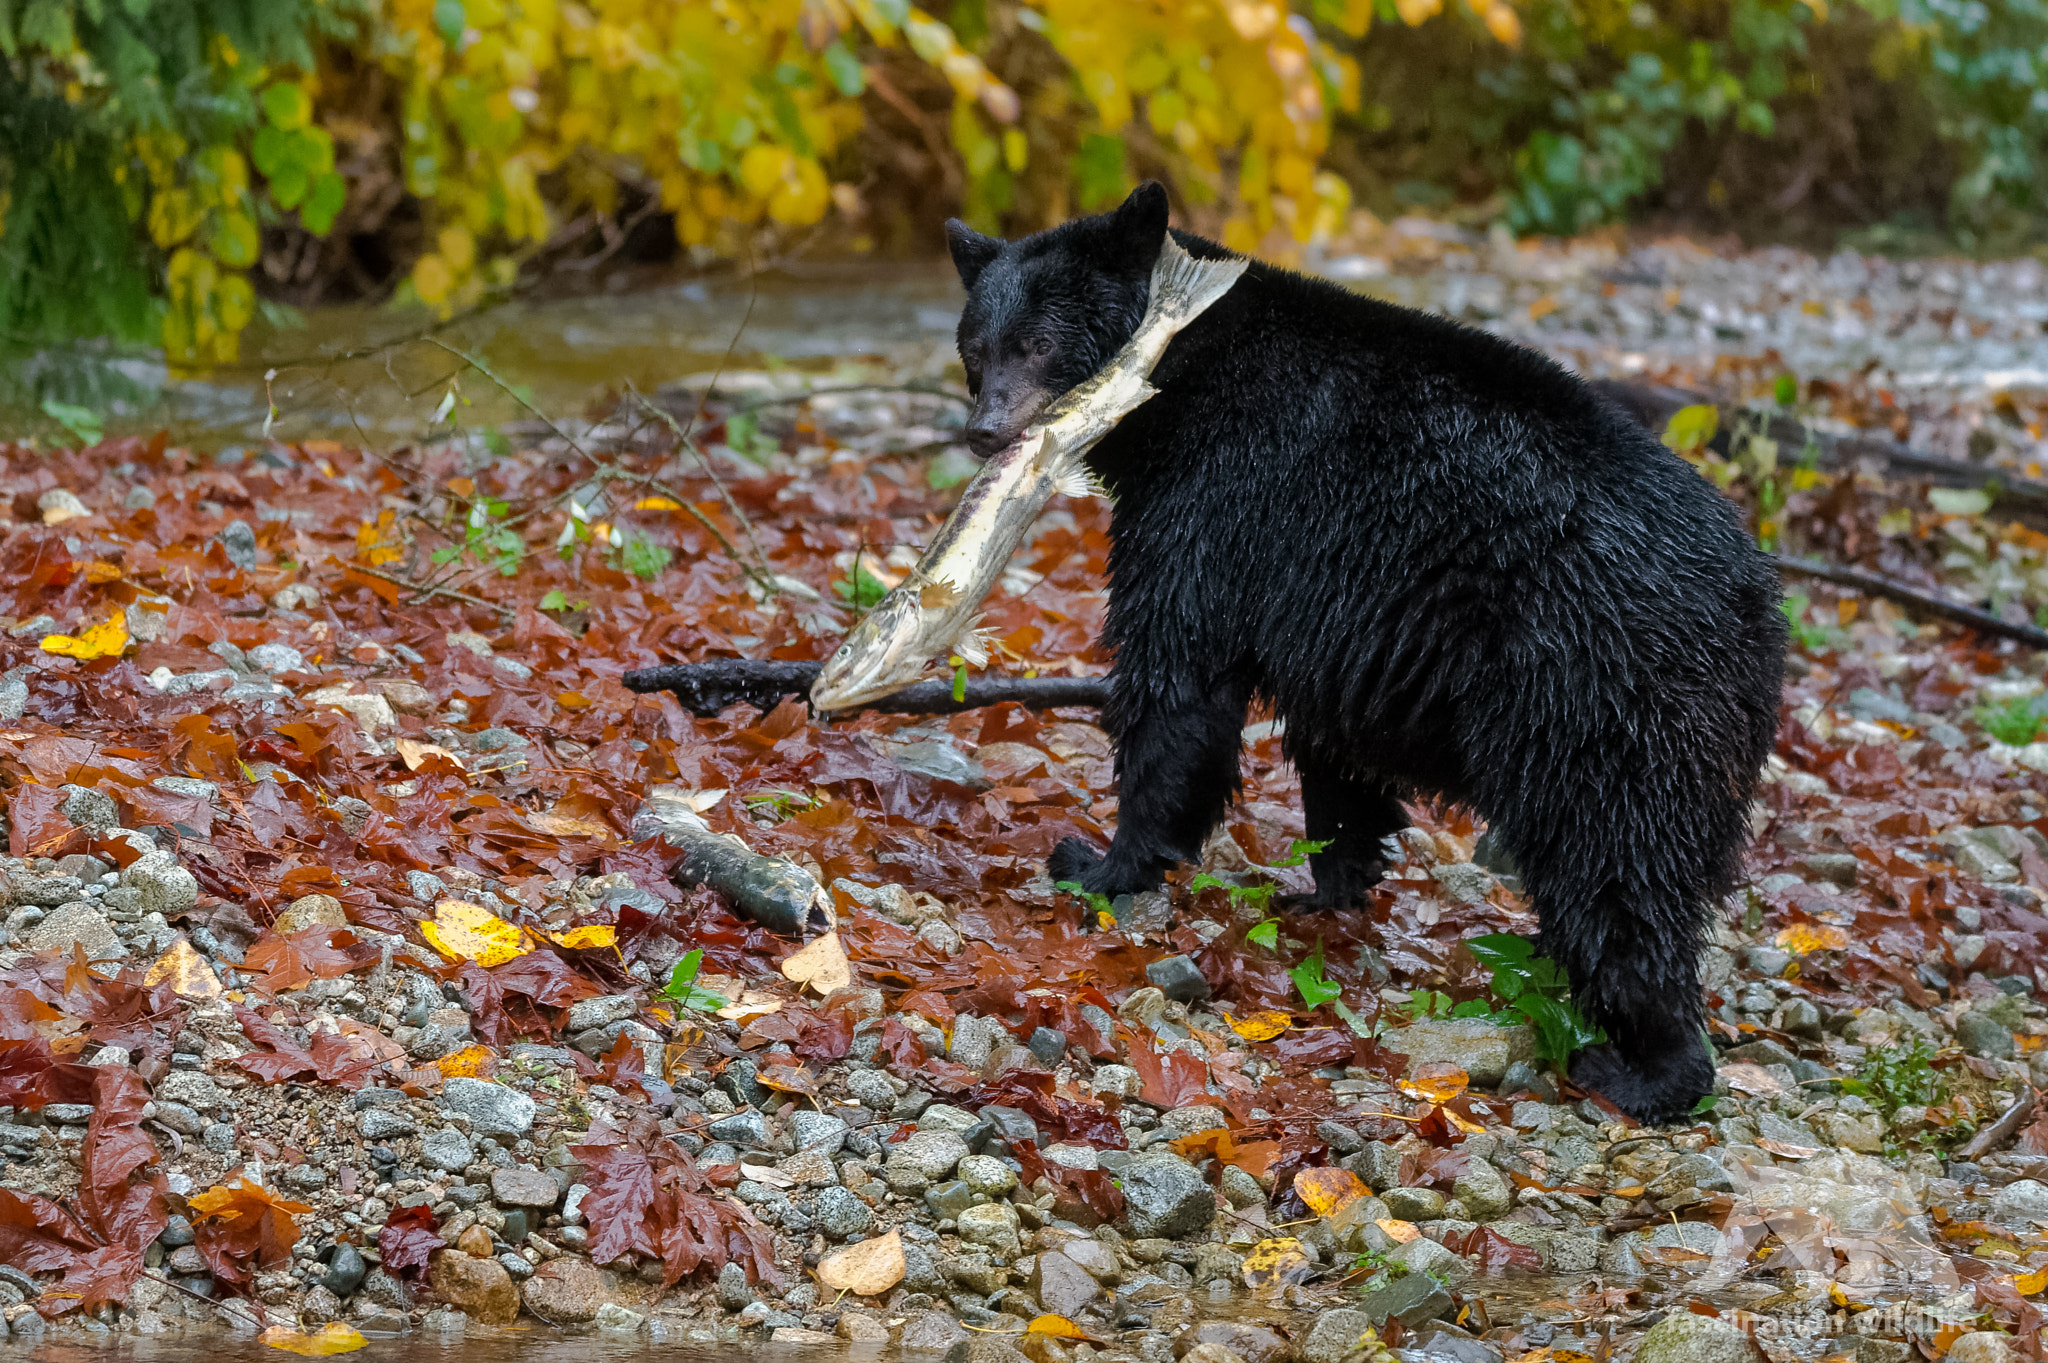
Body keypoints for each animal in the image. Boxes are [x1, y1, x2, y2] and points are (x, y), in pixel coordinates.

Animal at [943, 182, 1786, 1125]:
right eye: (975, 347)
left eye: (1040, 343)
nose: (985, 429)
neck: (1180, 370)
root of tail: (1754, 600)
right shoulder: (1337, 608)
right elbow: (1335, 745)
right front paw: (1328, 883)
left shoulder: (1215, 499)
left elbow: (1178, 681)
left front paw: (1103, 863)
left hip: (1599, 695)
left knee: (1614, 866)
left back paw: (1648, 1067)